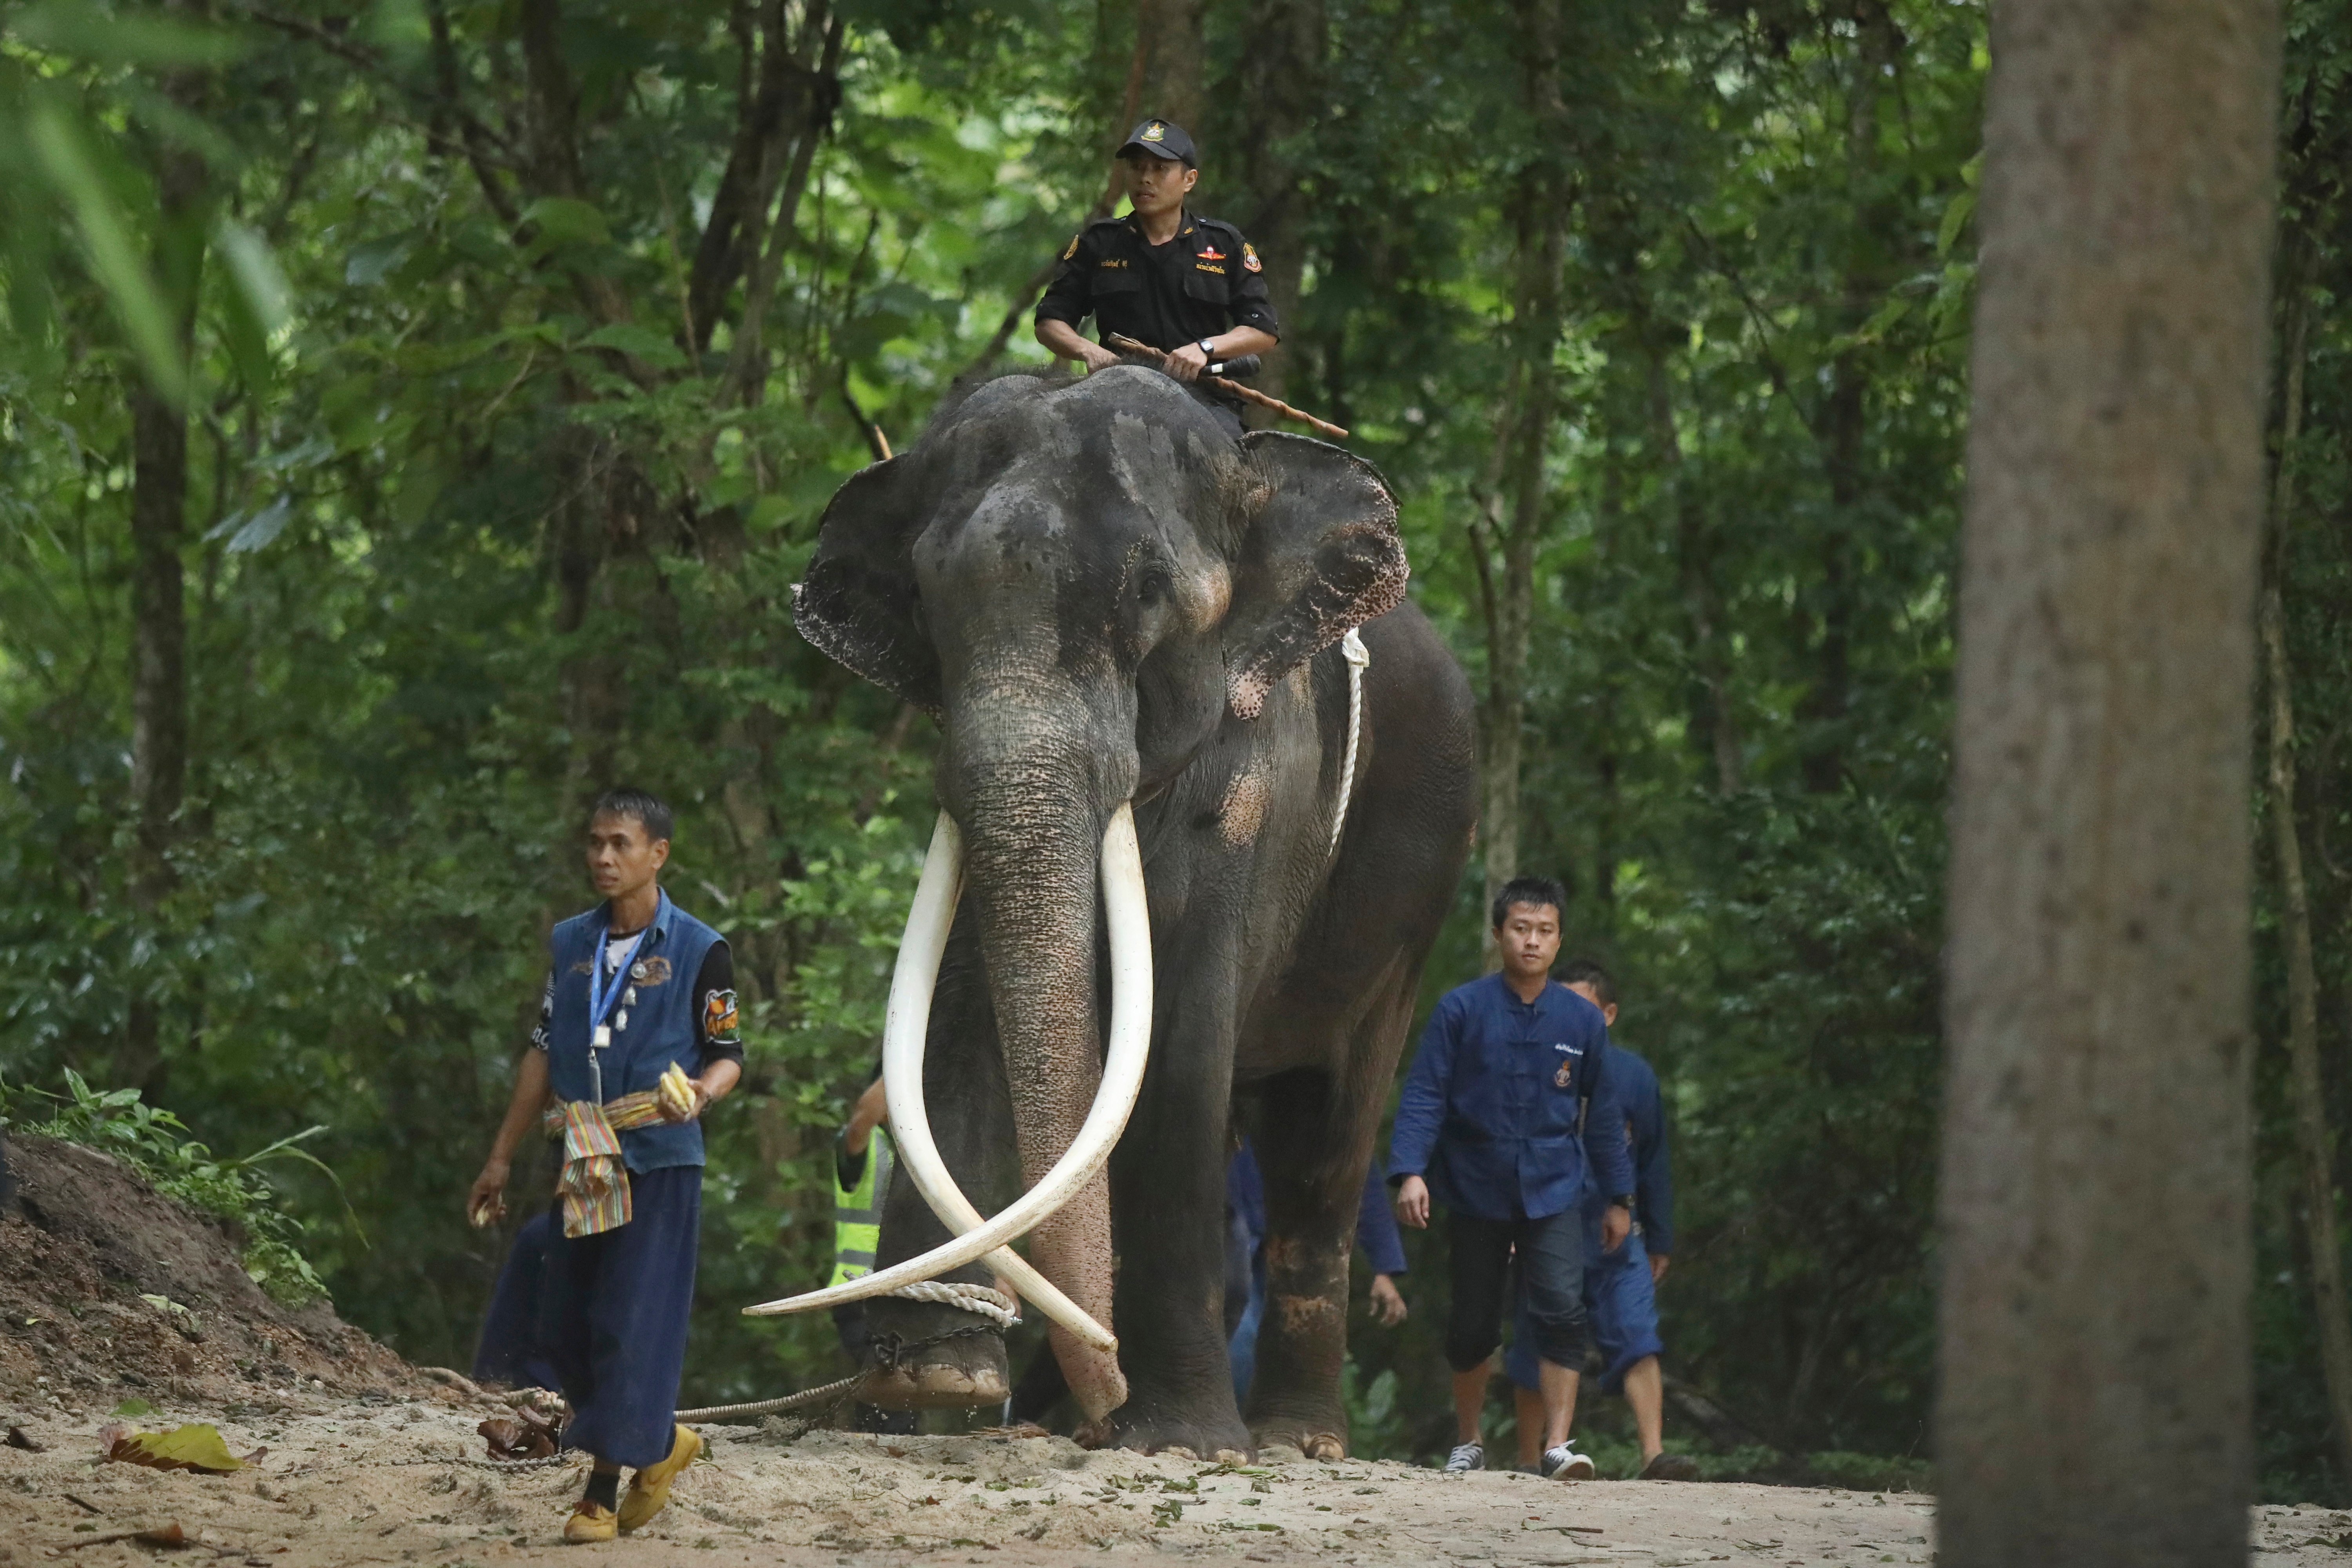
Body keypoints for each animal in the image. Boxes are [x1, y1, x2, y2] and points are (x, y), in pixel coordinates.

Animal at [775, 365, 1477, 1458]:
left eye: (1151, 593)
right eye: (927, 597)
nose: (1100, 1389)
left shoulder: (1260, 781)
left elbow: (1183, 1038)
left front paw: (1185, 1439)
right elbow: (958, 1015)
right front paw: (944, 1376)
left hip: (1412, 908)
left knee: (1325, 1134)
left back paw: (1294, 1439)